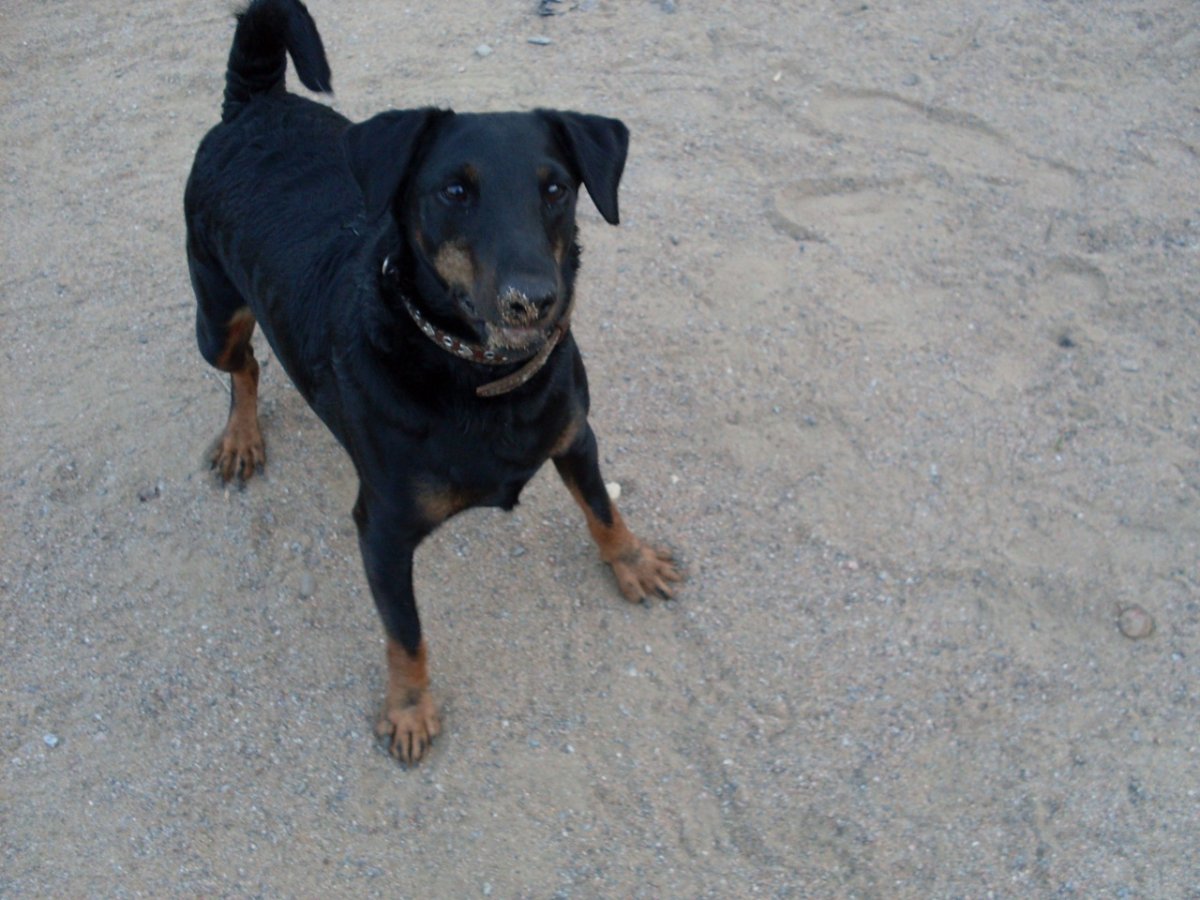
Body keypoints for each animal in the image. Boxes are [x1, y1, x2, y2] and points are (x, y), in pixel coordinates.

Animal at [184, 0, 681, 764]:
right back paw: (242, 437)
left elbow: (603, 509)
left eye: (556, 188)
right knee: (244, 366)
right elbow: (406, 634)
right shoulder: (383, 531)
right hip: (215, 316)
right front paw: (410, 710)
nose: (532, 300)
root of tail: (253, 105)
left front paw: (632, 561)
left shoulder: (576, 436)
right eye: (454, 190)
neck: (479, 379)